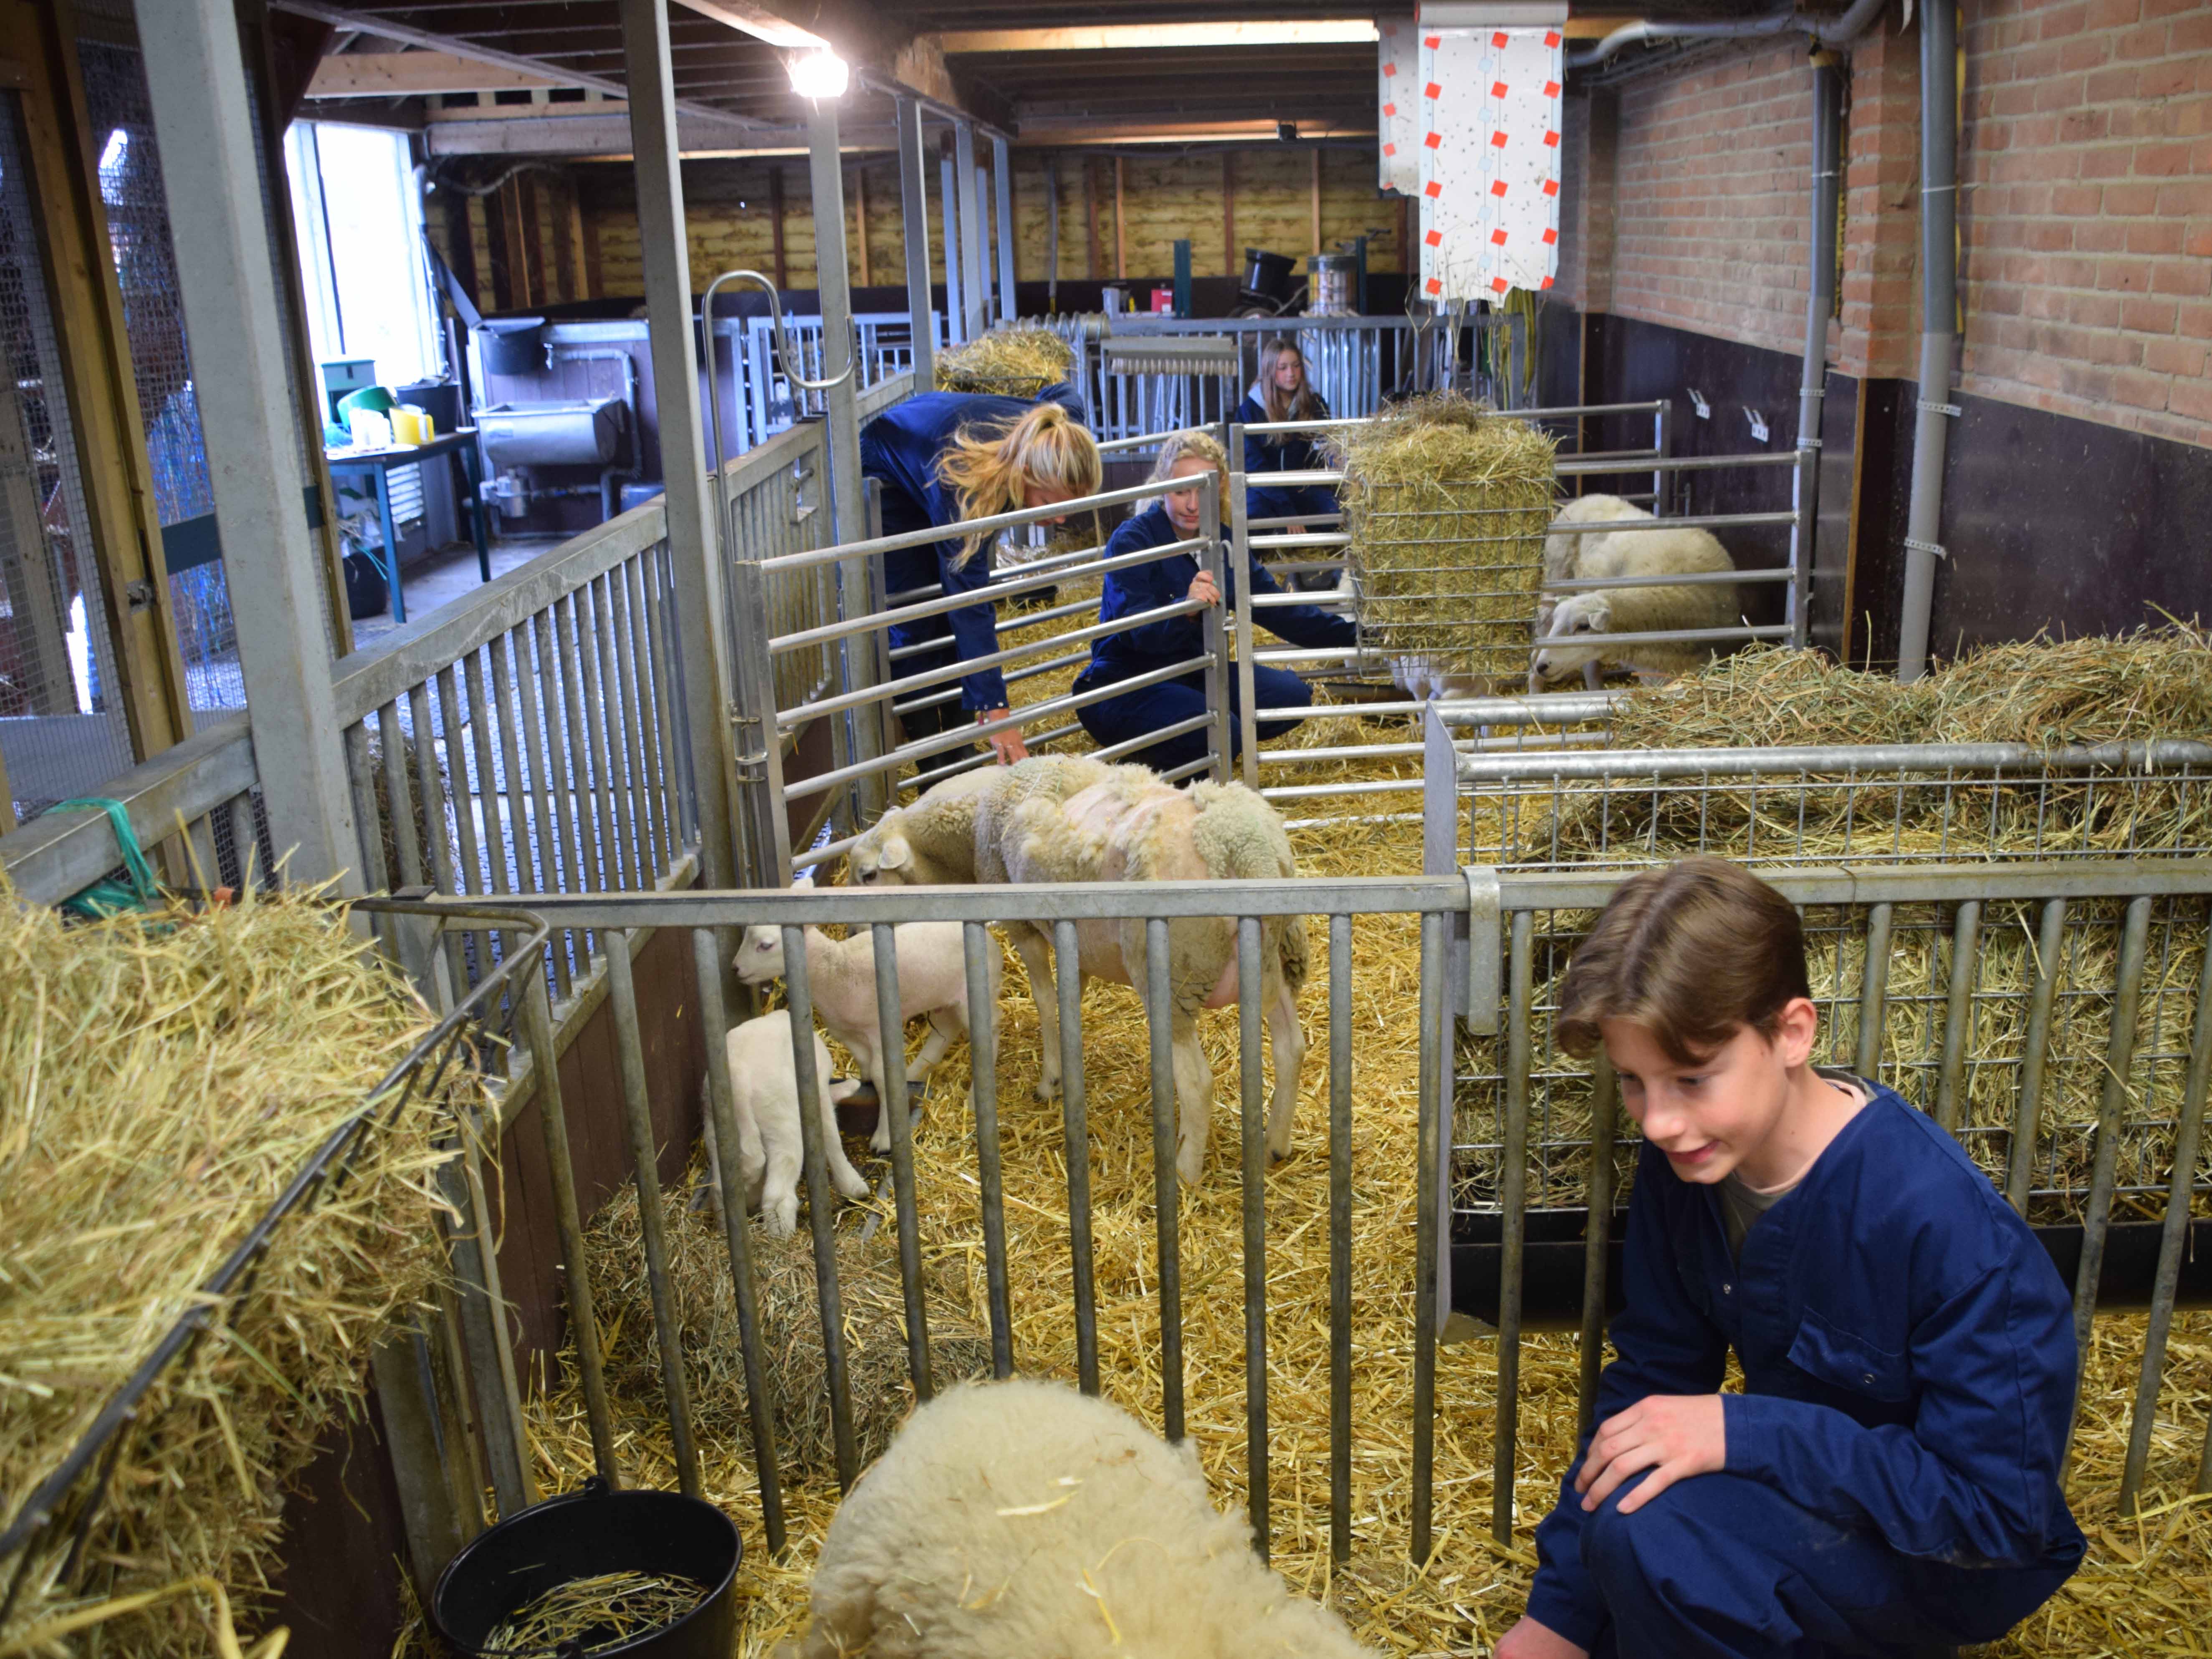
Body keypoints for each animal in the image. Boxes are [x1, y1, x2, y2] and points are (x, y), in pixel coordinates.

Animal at [699, 1011, 872, 1239]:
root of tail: (737, 1081)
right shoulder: (818, 1095)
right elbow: (832, 1140)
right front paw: (855, 1188)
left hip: (715, 1125)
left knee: (723, 1186)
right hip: (781, 1121)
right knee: (777, 1195)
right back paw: (782, 1238)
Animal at [736, 888, 1001, 1153]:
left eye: (766, 945)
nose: (735, 968)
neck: (835, 969)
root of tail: (989, 938)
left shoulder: (878, 1029)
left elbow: (883, 1077)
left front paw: (885, 1136)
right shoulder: (845, 1032)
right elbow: (865, 1066)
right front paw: (865, 1086)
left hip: (976, 995)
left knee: (989, 1033)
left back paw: (975, 1098)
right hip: (941, 999)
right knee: (945, 1030)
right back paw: (915, 1071)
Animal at [995, 771, 1308, 1185]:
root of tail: (1242, 849)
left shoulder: (1026, 928)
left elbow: (1045, 1002)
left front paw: (1049, 1081)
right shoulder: (1077, 945)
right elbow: (1068, 1002)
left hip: (1173, 978)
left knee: (1197, 1082)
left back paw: (1185, 1172)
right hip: (1282, 955)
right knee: (1291, 1048)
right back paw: (1274, 1144)